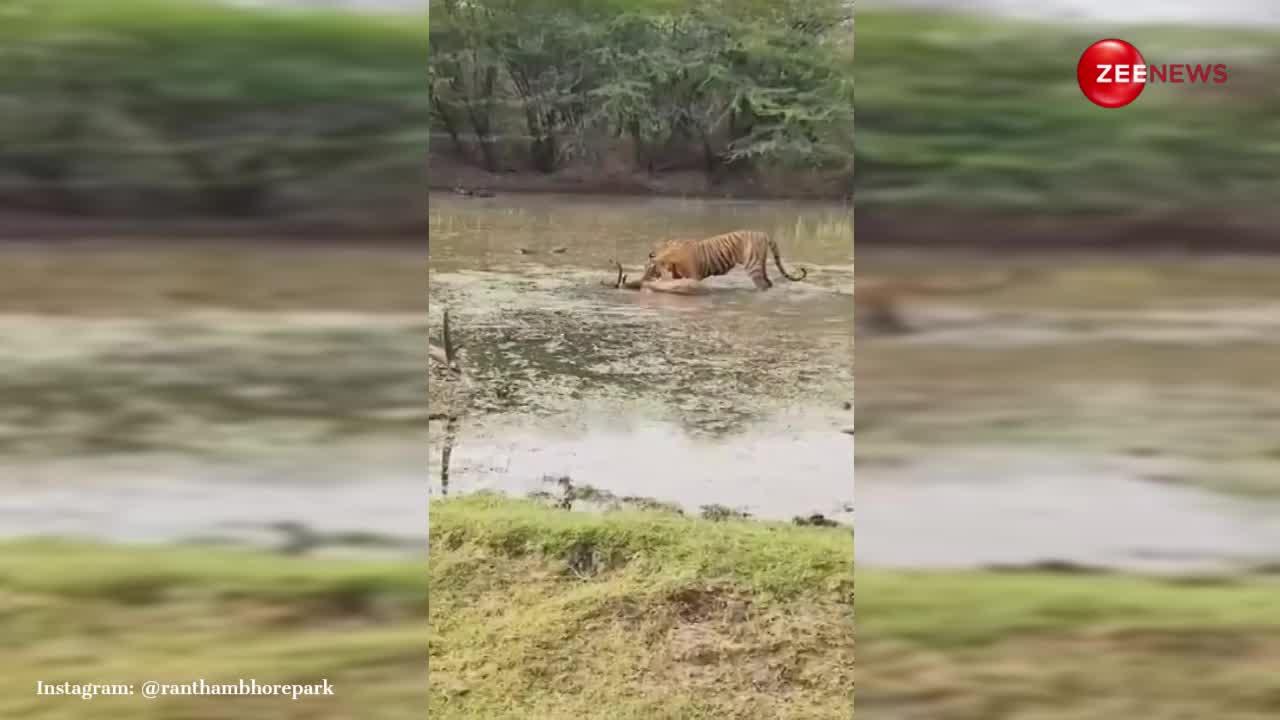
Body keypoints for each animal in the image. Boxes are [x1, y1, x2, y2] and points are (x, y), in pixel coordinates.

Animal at [640, 226, 808, 288]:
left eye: (647, 267)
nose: (641, 280)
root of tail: (763, 234)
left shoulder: (693, 276)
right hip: (761, 265)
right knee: (769, 283)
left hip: (753, 266)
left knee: (763, 284)